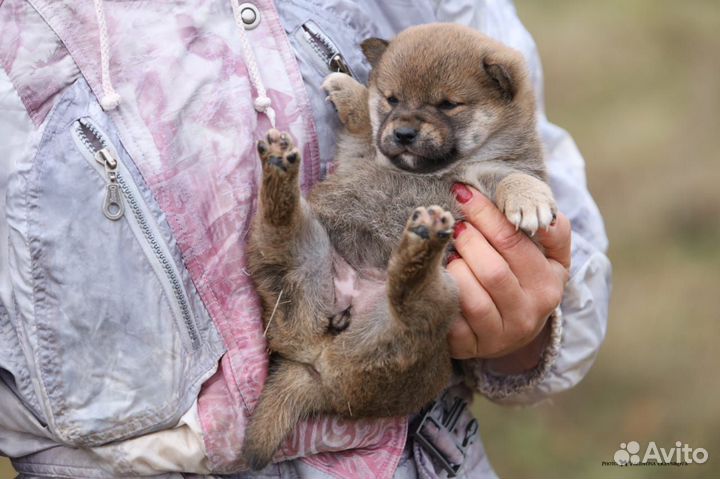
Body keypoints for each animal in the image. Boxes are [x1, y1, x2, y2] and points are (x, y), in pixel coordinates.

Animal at [243, 23, 556, 472]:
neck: (441, 170)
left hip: (432, 314)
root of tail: (318, 361)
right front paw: (350, 90)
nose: (404, 132)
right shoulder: (363, 152)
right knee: (281, 222)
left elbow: (513, 176)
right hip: (302, 254)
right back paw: (280, 165)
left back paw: (418, 245)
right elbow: (365, 125)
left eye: (447, 104)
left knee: (410, 300)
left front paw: (529, 199)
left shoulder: (491, 173)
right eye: (392, 99)